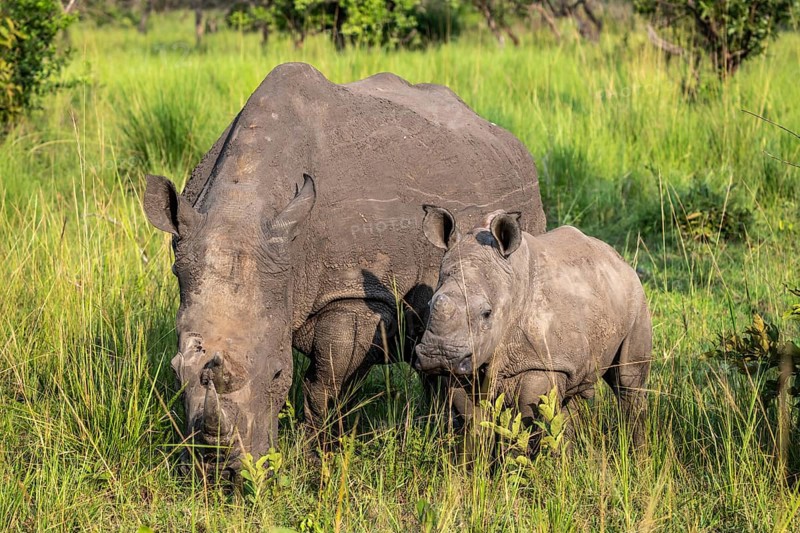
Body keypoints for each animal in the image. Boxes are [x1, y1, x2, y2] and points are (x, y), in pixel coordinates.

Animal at [142, 62, 546, 476]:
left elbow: (324, 385)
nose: (217, 470)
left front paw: (316, 459)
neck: (244, 204)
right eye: (174, 372)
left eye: (277, 372)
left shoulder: (354, 298)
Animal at [414, 207, 651, 448]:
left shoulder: (543, 362)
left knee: (628, 381)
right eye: (429, 304)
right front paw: (472, 458)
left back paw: (637, 450)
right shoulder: (467, 357)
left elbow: (528, 419)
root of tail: (617, 257)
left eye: (487, 313)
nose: (438, 356)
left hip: (636, 297)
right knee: (574, 390)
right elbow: (473, 420)